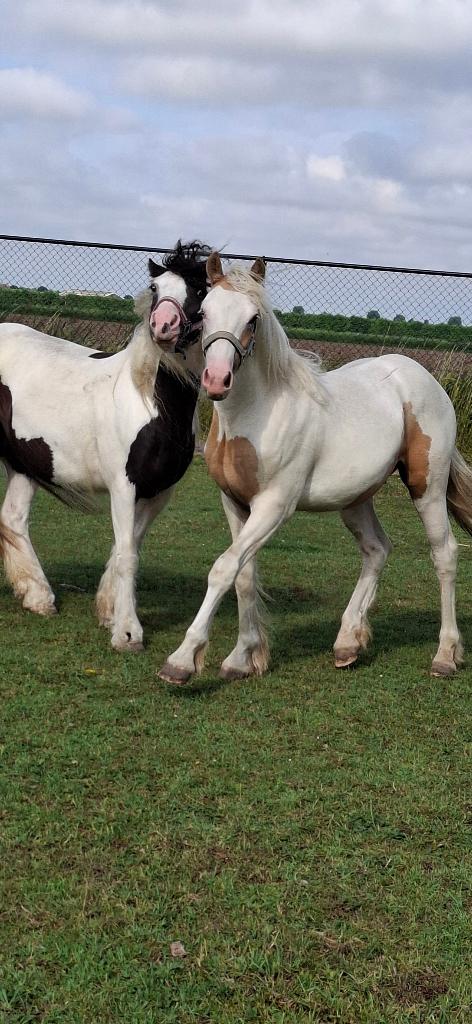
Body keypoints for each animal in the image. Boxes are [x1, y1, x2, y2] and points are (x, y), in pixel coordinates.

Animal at [0, 240, 209, 651]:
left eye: (197, 290)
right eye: (156, 289)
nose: (163, 326)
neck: (151, 402)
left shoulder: (158, 492)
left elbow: (128, 548)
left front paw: (111, 612)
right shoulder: (124, 487)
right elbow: (127, 553)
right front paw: (128, 632)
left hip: (25, 462)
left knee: (13, 518)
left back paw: (38, 596)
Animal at [159, 251, 472, 683]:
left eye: (253, 318)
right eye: (204, 313)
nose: (217, 380)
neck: (258, 413)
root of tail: (424, 378)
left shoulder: (274, 506)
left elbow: (224, 568)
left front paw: (181, 660)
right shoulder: (234, 502)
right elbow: (244, 574)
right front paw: (242, 659)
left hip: (428, 486)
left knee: (445, 554)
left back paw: (445, 655)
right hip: (356, 497)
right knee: (377, 549)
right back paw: (348, 644)